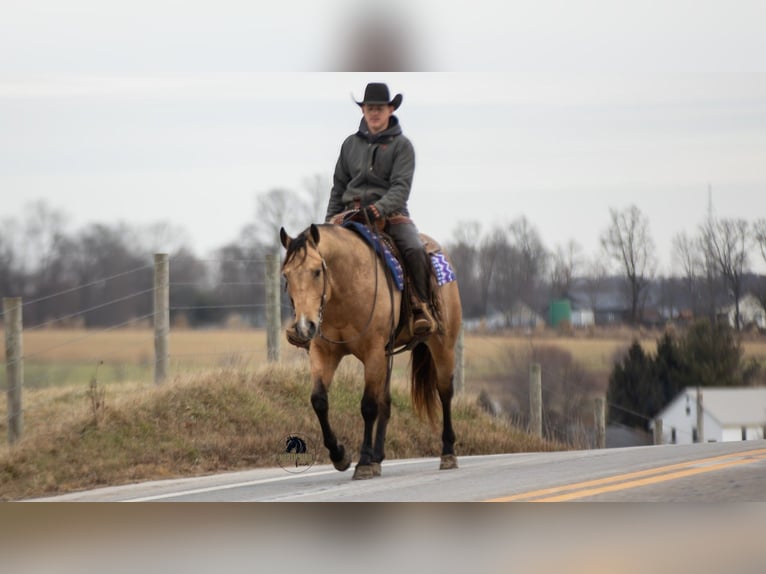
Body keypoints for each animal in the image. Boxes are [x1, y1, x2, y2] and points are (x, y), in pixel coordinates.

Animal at [279, 222, 462, 479]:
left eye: (316, 271)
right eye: (286, 275)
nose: (305, 327)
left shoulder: (373, 352)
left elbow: (368, 406)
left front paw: (363, 462)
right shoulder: (323, 352)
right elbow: (319, 400)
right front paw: (340, 455)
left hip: (442, 345)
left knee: (444, 392)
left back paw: (447, 453)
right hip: (387, 357)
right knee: (386, 402)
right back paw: (378, 457)